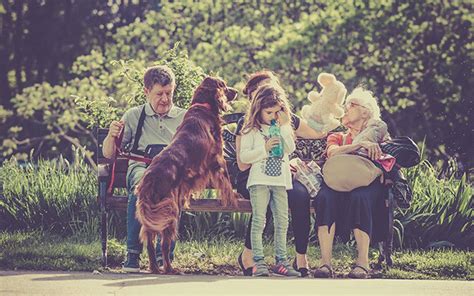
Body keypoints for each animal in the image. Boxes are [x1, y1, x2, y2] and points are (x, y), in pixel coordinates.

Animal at [135, 75, 241, 272]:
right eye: (223, 85)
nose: (236, 91)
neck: (203, 106)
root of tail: (150, 180)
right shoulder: (217, 158)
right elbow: (226, 181)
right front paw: (234, 196)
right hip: (170, 212)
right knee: (164, 244)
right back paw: (169, 269)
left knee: (151, 243)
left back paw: (155, 267)